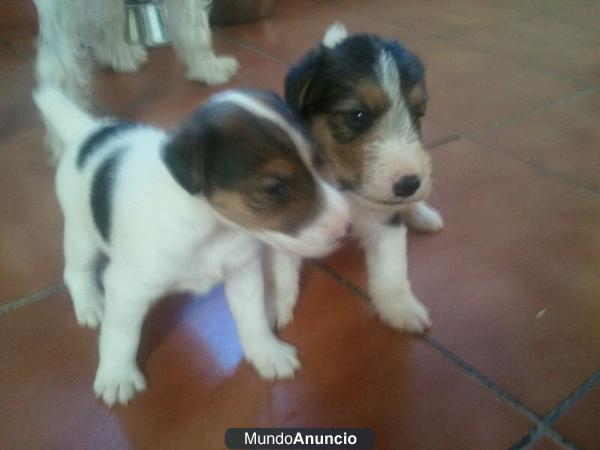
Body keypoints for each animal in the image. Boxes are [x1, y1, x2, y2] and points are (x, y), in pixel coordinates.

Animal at [32, 86, 350, 406]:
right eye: (273, 188)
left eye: (317, 162)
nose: (346, 228)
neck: (209, 228)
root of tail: (88, 132)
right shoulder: (127, 288)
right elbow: (120, 335)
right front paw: (117, 375)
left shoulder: (243, 273)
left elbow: (254, 318)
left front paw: (266, 352)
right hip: (80, 233)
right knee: (75, 271)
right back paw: (90, 303)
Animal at [282, 23, 446, 334]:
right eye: (358, 115)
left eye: (418, 113)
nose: (409, 185)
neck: (342, 186)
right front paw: (274, 305)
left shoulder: (386, 219)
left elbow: (392, 269)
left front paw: (402, 308)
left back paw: (424, 215)